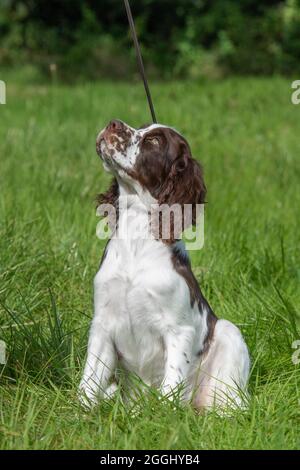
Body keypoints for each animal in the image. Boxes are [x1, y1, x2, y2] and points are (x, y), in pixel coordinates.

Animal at [78, 119, 250, 410]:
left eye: (155, 141)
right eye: (141, 127)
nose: (113, 123)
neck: (137, 233)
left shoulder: (179, 330)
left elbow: (171, 384)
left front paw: (164, 415)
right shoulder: (102, 323)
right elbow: (89, 381)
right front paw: (80, 413)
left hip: (229, 334)